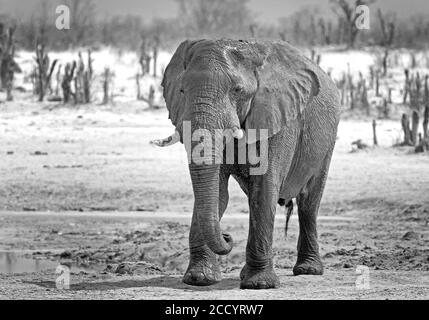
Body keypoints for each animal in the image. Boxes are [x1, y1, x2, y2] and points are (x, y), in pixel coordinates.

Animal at [152, 38, 340, 288]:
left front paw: (259, 284)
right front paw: (199, 279)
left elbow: (264, 187)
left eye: (237, 90)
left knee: (309, 201)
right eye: (181, 91)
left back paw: (308, 270)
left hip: (328, 140)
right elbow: (218, 193)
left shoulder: (277, 117)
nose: (227, 236)